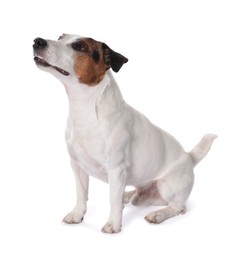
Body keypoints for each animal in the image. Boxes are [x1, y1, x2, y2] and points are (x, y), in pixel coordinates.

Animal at [32, 34, 216, 234]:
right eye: (60, 37)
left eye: (79, 46)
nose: (37, 41)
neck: (85, 109)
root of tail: (189, 158)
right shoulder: (77, 165)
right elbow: (81, 193)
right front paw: (77, 214)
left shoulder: (116, 169)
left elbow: (112, 199)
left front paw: (113, 224)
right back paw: (129, 195)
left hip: (168, 186)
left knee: (178, 207)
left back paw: (158, 214)